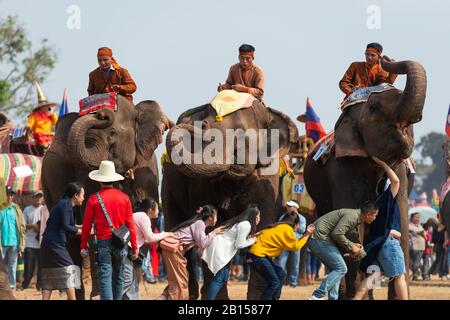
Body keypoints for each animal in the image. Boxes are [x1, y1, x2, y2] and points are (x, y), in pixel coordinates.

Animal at [41, 94, 172, 298]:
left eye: (112, 134)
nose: (102, 113)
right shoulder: (86, 176)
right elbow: (94, 227)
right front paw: (101, 293)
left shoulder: (147, 172)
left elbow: (144, 226)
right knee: (70, 239)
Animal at [163, 99, 302, 298]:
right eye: (205, 125)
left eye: (241, 137)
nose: (195, 126)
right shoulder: (200, 186)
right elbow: (211, 228)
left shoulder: (268, 180)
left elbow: (262, 222)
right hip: (169, 185)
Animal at [302, 58, 426, 300]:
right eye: (375, 107)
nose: (386, 59)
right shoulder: (341, 168)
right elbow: (350, 228)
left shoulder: (401, 173)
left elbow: (401, 221)